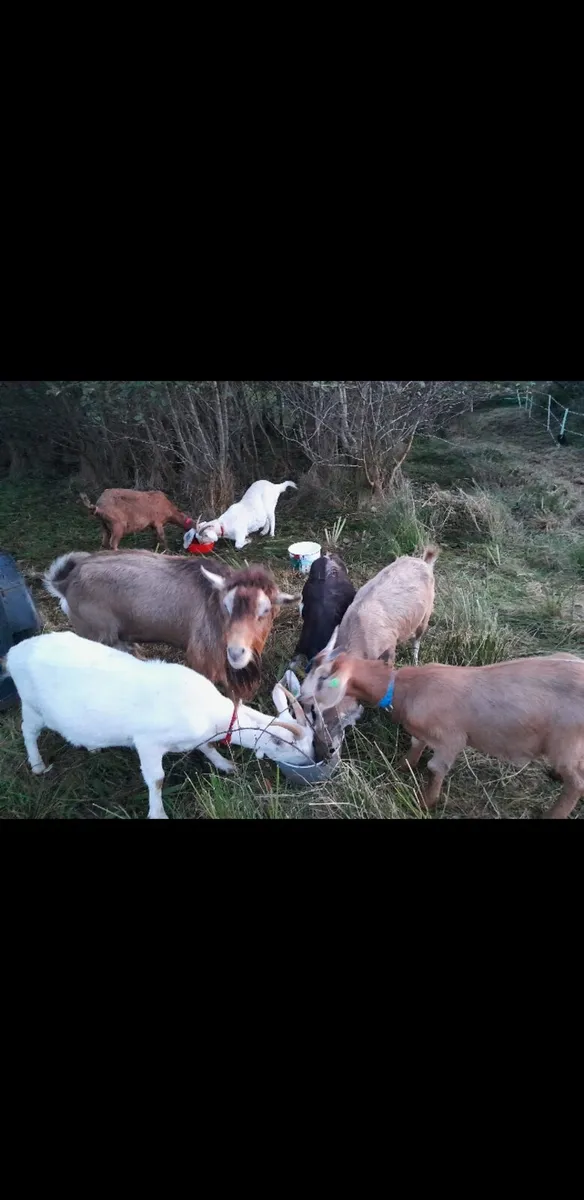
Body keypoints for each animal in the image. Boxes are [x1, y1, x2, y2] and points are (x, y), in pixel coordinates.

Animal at [5, 632, 315, 819]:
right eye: (297, 748)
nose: (318, 758)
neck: (209, 711)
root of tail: (14, 651)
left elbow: (206, 747)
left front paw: (225, 764)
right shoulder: (148, 743)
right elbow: (156, 779)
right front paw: (157, 813)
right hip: (32, 706)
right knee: (27, 731)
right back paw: (37, 765)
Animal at [43, 551, 297, 703]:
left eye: (265, 611)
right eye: (226, 605)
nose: (236, 652)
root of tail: (67, 583)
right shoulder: (202, 661)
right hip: (95, 635)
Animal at [300, 650, 584, 818]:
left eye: (322, 678)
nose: (301, 700)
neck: (403, 689)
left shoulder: (450, 740)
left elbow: (436, 768)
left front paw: (425, 803)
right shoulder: (422, 733)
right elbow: (416, 745)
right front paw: (403, 766)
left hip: (565, 742)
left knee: (577, 783)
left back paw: (553, 814)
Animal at [301, 546, 439, 755]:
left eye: (332, 708)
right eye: (313, 712)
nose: (322, 752)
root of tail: (424, 561)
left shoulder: (389, 647)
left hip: (426, 615)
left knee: (417, 638)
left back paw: (415, 660)